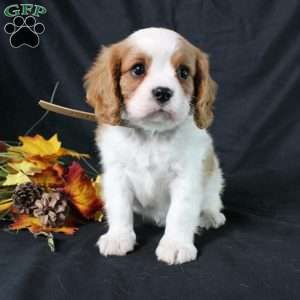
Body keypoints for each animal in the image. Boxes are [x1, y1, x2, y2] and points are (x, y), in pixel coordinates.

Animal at [84, 27, 225, 264]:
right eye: (138, 69)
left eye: (183, 72)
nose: (163, 92)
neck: (152, 134)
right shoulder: (117, 175)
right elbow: (120, 207)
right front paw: (118, 237)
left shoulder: (187, 177)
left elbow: (181, 213)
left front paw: (176, 244)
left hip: (214, 177)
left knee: (211, 199)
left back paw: (210, 215)